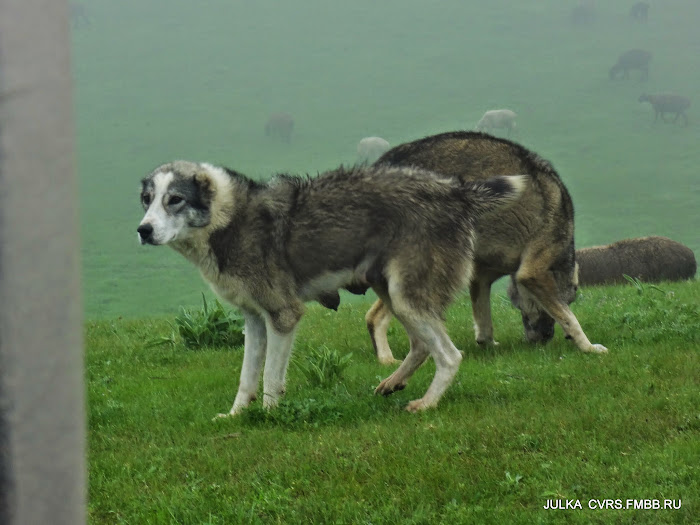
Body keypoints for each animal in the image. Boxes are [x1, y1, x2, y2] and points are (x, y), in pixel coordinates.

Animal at [138, 162, 524, 416]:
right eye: (147, 199)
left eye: (175, 199)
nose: (143, 230)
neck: (229, 218)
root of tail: (456, 191)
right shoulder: (255, 320)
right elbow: (246, 378)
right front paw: (236, 415)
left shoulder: (284, 315)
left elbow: (270, 377)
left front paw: (269, 415)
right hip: (394, 294)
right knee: (420, 346)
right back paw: (392, 383)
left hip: (406, 297)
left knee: (449, 355)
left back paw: (427, 403)